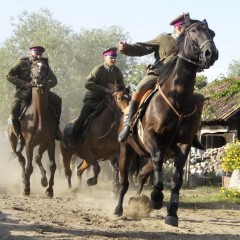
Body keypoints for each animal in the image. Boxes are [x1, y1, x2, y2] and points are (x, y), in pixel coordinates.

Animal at [113, 15, 218, 227]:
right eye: (193, 30)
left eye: (212, 33)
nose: (211, 53)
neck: (177, 99)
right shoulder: (151, 138)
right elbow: (158, 161)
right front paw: (156, 197)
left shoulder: (183, 145)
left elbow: (176, 179)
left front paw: (172, 212)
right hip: (125, 150)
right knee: (124, 181)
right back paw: (119, 208)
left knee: (143, 174)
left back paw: (139, 200)